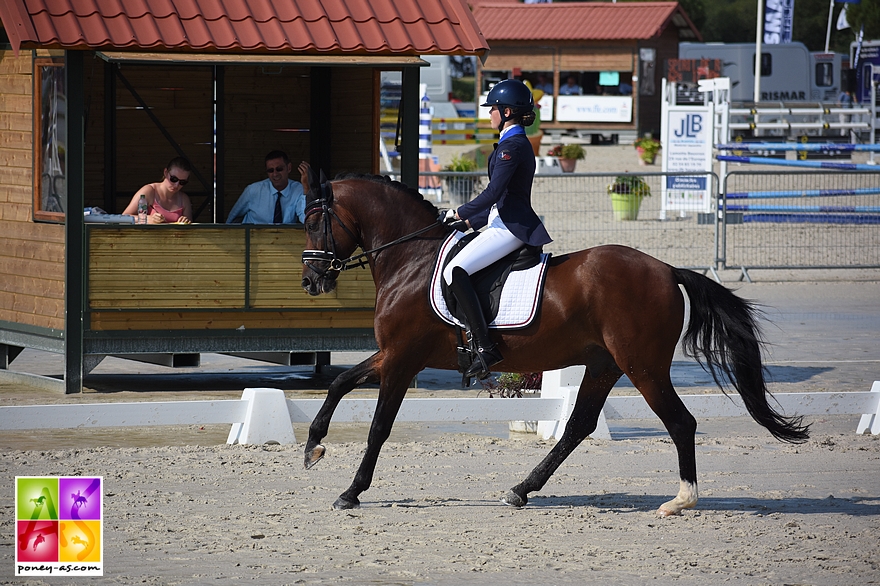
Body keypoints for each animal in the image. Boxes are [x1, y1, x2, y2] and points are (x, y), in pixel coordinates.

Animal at [300, 171, 808, 512]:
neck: (411, 259)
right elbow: (340, 383)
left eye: (311, 222)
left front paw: (351, 491)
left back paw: (681, 500)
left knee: (680, 422)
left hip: (643, 367)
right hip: (605, 364)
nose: (310, 282)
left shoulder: (403, 359)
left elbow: (379, 426)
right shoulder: (392, 355)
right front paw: (313, 448)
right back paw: (521, 489)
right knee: (579, 425)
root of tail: (666, 270)